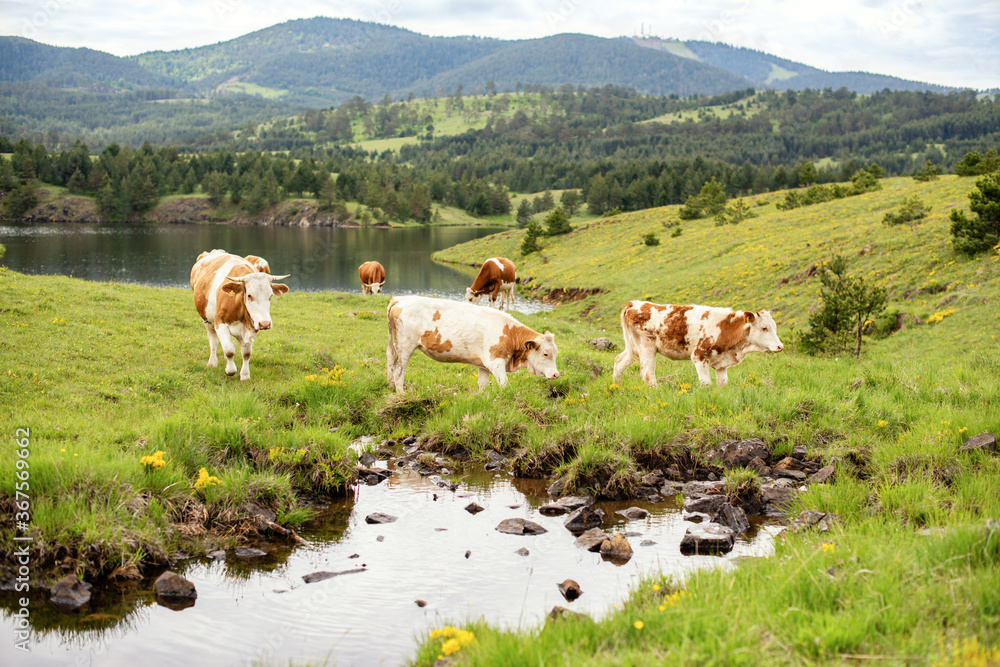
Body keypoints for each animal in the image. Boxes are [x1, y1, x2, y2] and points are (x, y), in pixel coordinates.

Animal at [190, 249, 290, 381]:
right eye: (249, 295)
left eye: (270, 296)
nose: (265, 323)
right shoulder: (219, 322)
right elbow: (229, 350)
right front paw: (229, 370)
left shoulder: (252, 327)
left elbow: (246, 353)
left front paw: (245, 375)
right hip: (206, 320)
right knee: (213, 341)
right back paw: (212, 362)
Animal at [386, 295, 559, 392]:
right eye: (545, 353)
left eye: (556, 353)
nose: (556, 374)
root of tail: (399, 299)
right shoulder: (495, 362)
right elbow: (505, 386)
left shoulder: (484, 365)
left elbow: (482, 386)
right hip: (405, 346)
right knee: (399, 371)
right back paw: (402, 394)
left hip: (396, 346)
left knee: (391, 362)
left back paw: (390, 387)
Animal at [612, 301, 783, 388]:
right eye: (764, 327)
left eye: (775, 326)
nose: (780, 346)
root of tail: (635, 303)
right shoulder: (699, 356)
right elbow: (706, 383)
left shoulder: (721, 364)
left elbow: (723, 384)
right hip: (646, 346)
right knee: (648, 374)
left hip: (633, 348)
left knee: (619, 362)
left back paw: (616, 387)